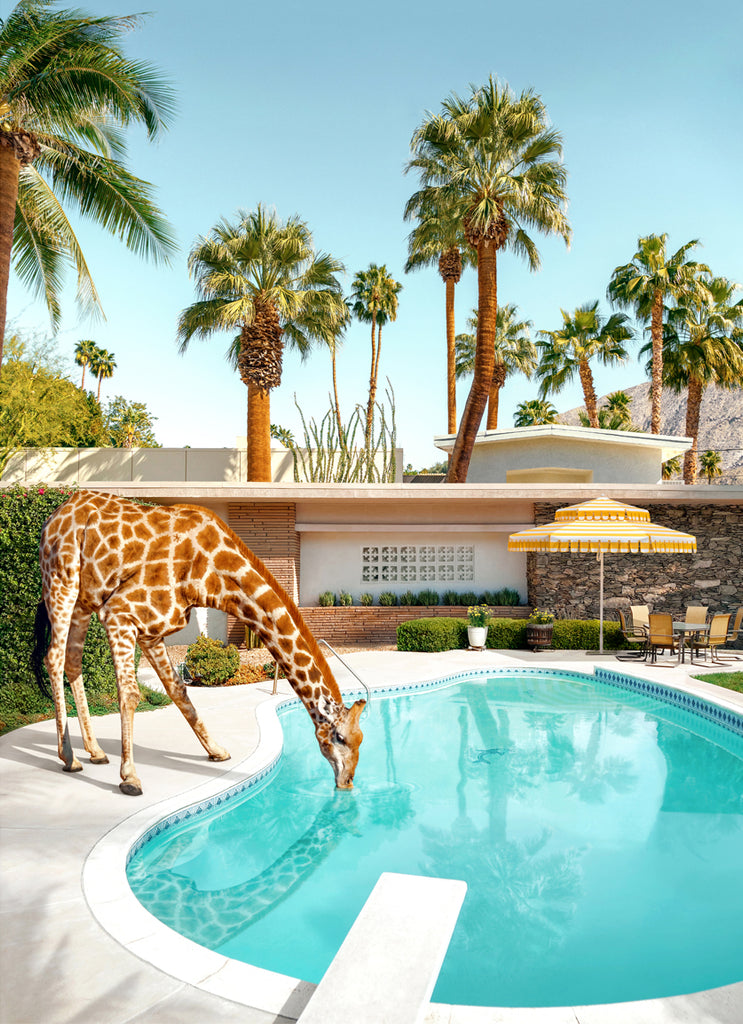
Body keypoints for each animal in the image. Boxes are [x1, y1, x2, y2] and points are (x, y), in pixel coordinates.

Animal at [33, 490, 365, 795]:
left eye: (361, 737)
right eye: (339, 737)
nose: (348, 781)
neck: (212, 577)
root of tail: (52, 517)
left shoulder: (152, 630)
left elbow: (178, 690)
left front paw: (217, 751)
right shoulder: (119, 612)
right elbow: (130, 693)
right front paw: (129, 777)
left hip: (84, 600)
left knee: (72, 662)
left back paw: (96, 752)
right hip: (61, 581)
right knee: (54, 657)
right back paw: (69, 757)